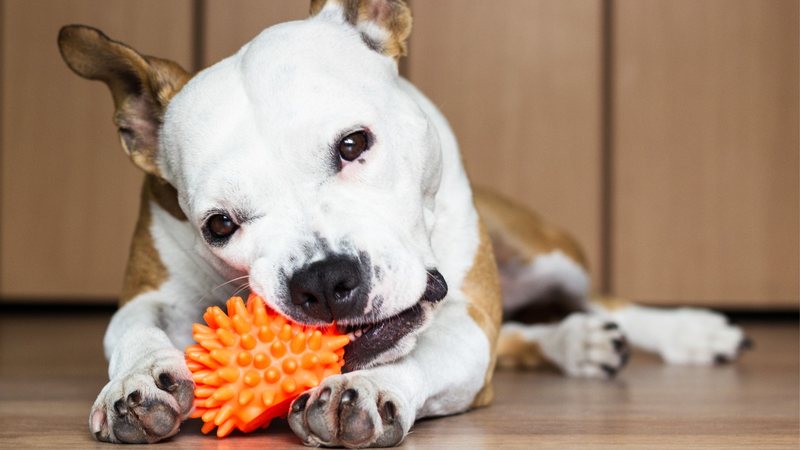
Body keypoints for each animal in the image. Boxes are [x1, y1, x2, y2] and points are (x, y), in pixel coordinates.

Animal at [57, 0, 752, 442]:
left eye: (353, 144)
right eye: (220, 226)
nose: (324, 280)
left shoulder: (467, 324)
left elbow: (430, 353)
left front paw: (366, 390)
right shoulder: (148, 290)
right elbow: (131, 327)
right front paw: (136, 382)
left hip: (549, 253)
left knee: (598, 298)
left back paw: (690, 332)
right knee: (523, 334)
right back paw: (576, 342)